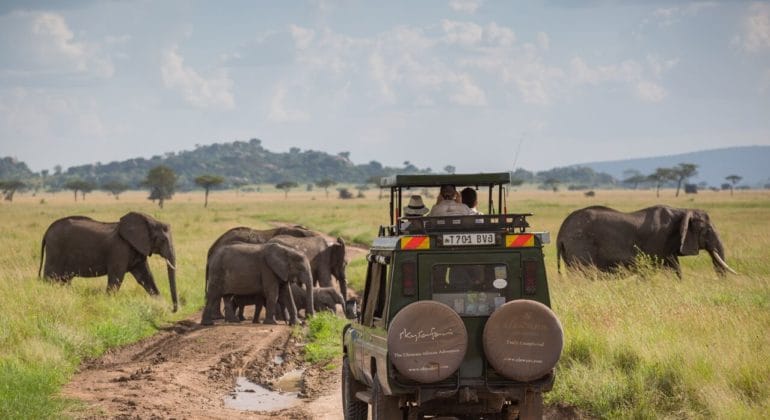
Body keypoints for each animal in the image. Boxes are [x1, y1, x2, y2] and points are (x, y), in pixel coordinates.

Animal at [38, 213, 178, 312]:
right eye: (162, 240)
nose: (173, 309)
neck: (149, 220)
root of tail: (46, 231)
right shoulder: (120, 250)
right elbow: (117, 278)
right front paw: (109, 303)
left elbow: (146, 277)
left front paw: (162, 306)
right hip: (55, 250)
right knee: (50, 277)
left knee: (64, 280)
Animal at [556, 205, 736, 278]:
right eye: (707, 231)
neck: (682, 211)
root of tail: (560, 233)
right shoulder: (658, 240)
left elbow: (675, 268)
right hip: (580, 244)